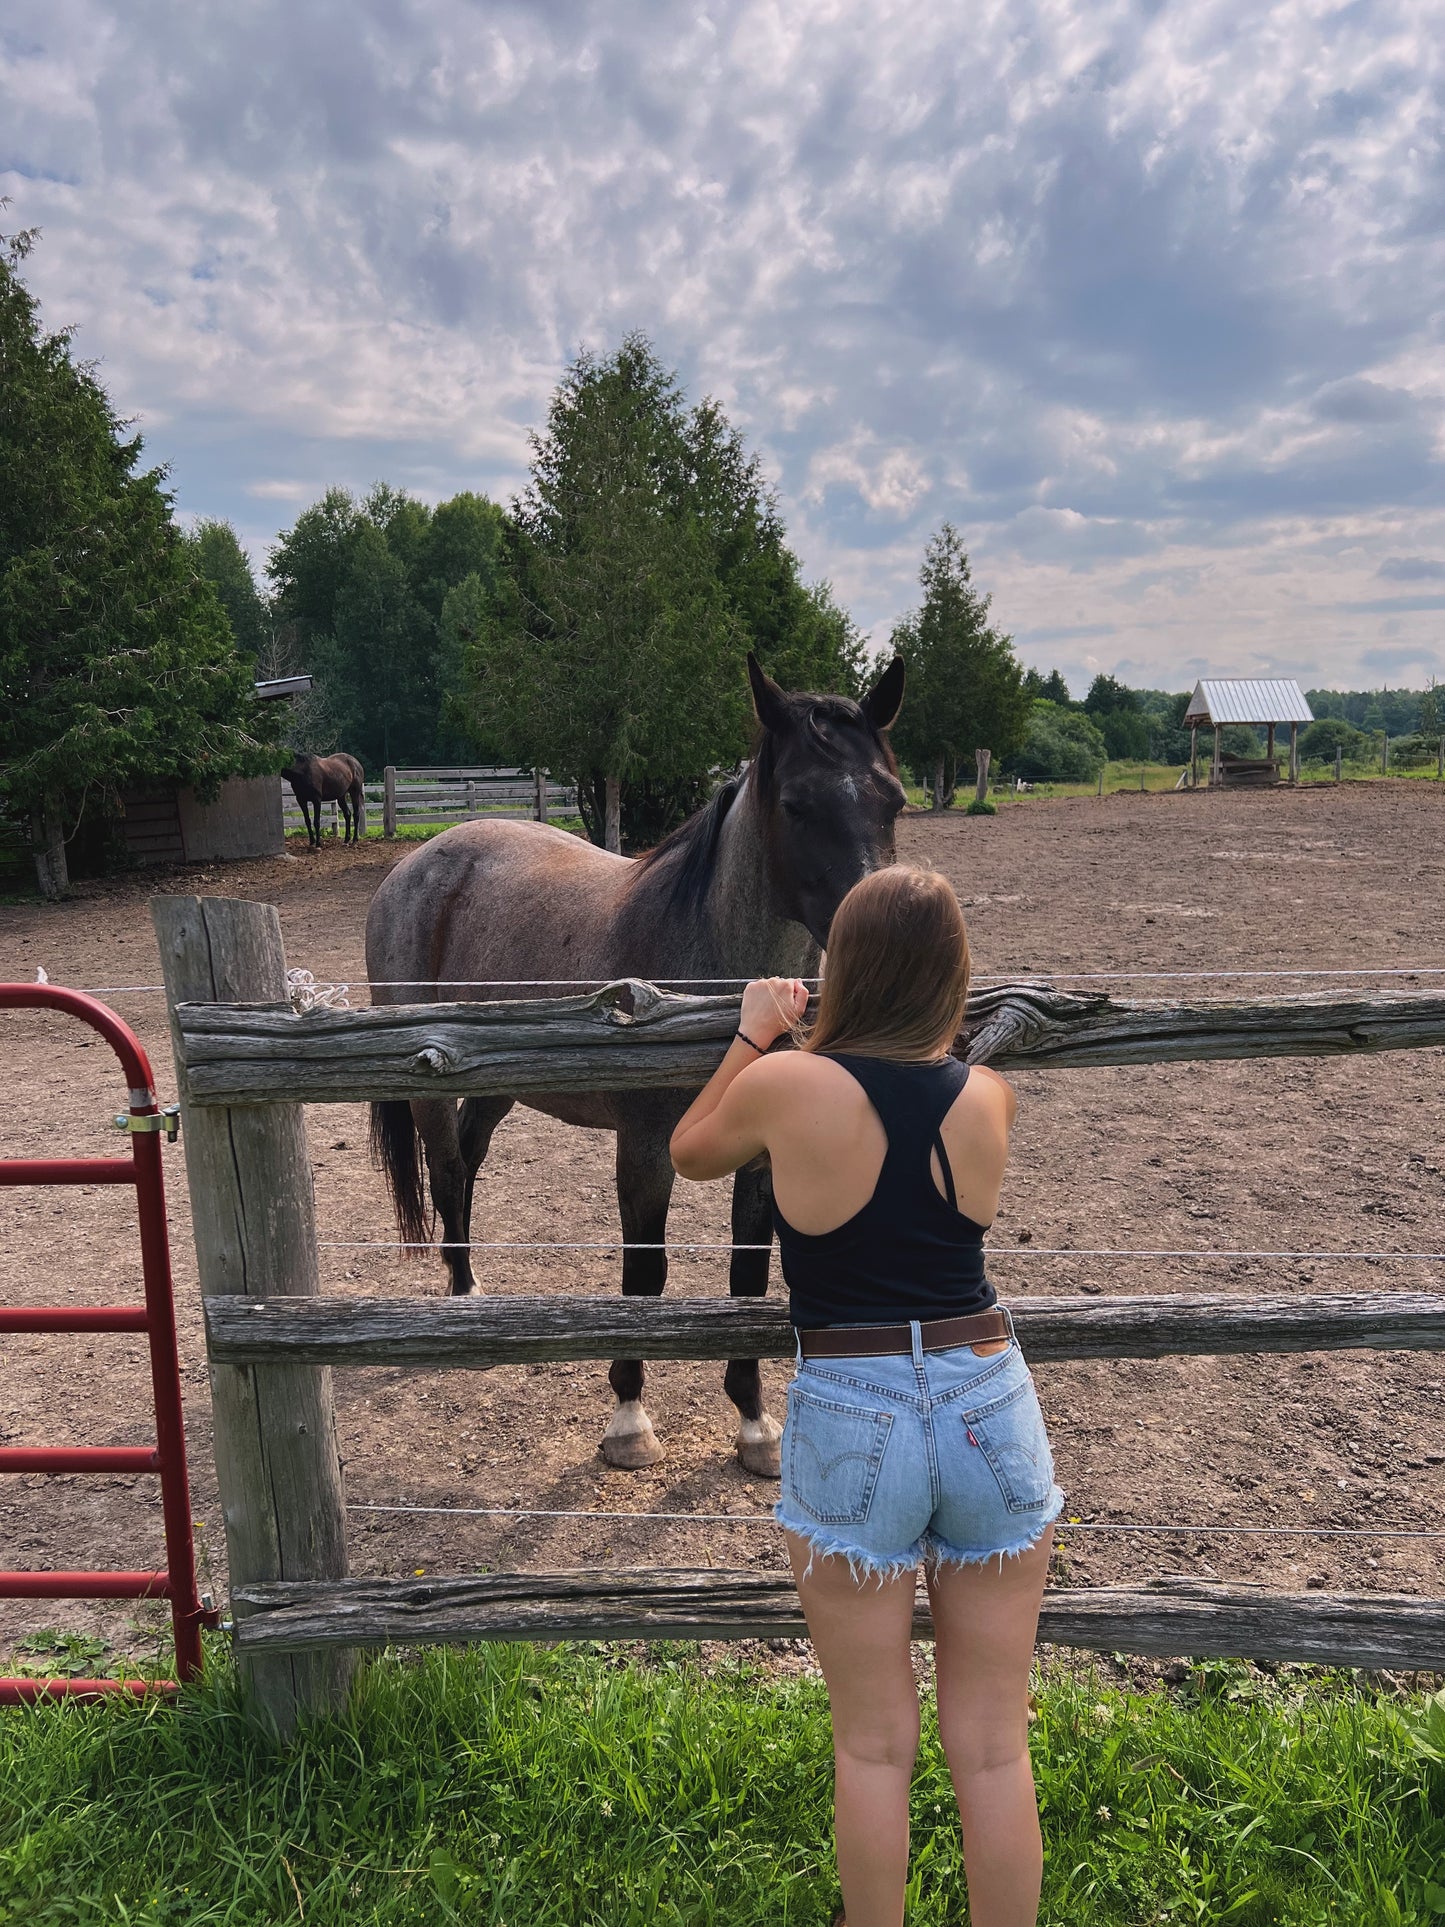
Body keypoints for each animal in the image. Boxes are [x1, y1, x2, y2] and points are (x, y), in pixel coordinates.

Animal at [364, 655, 905, 1479]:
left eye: (894, 801)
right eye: (796, 803)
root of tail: (414, 864)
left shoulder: (763, 1161)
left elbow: (747, 1279)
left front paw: (755, 1424)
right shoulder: (645, 1150)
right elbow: (643, 1274)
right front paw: (628, 1419)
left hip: (498, 1084)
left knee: (469, 1154)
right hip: (427, 1075)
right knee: (448, 1166)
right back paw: (463, 1296)